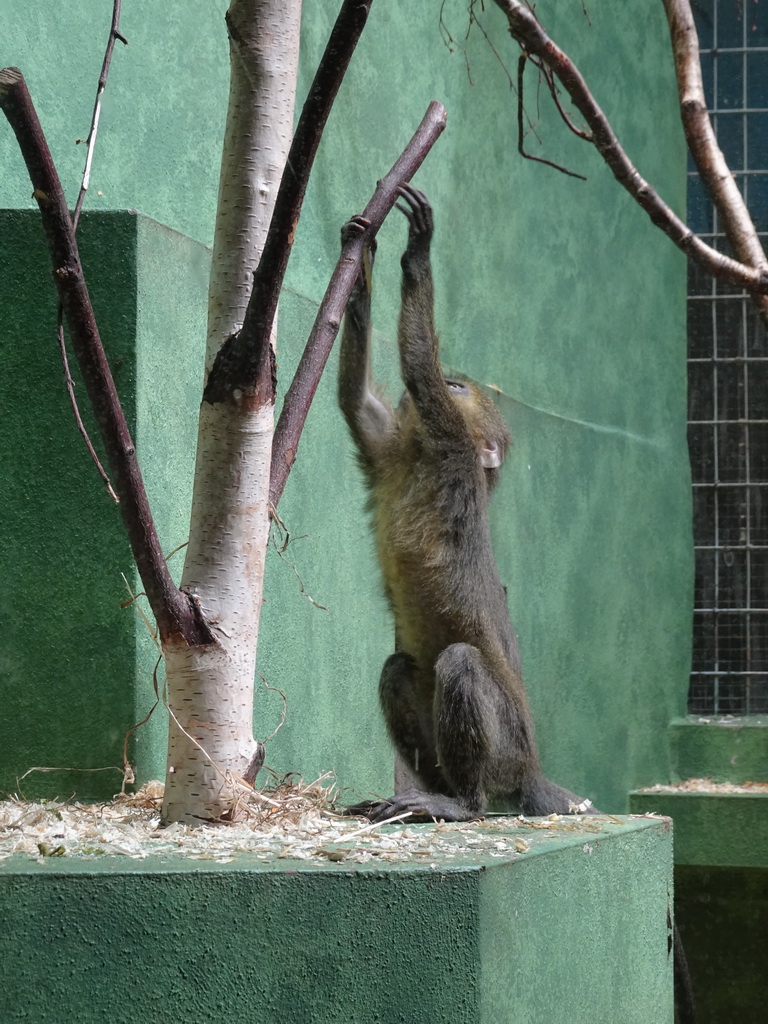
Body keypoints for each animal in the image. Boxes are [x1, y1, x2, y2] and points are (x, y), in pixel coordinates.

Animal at [339, 186, 598, 823]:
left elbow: (417, 367)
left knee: (459, 662)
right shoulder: (388, 452)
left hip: (505, 747)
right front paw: (359, 271)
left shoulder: (449, 439)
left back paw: (464, 803)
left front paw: (417, 253)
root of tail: (530, 770)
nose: (457, 382)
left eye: (459, 389)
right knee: (398, 670)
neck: (420, 457)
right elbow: (356, 400)